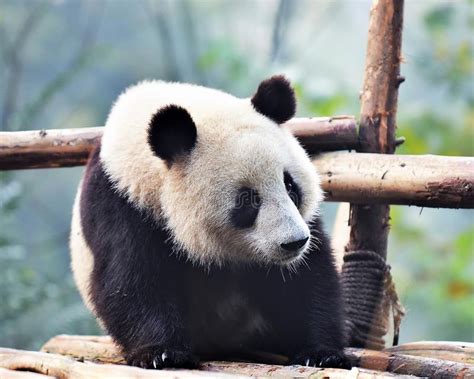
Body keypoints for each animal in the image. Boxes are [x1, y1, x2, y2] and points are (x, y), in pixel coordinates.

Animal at [70, 76, 352, 372]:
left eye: (290, 185)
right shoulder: (121, 204)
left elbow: (305, 280)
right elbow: (132, 280)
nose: (294, 242)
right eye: (248, 199)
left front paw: (321, 353)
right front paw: (163, 353)